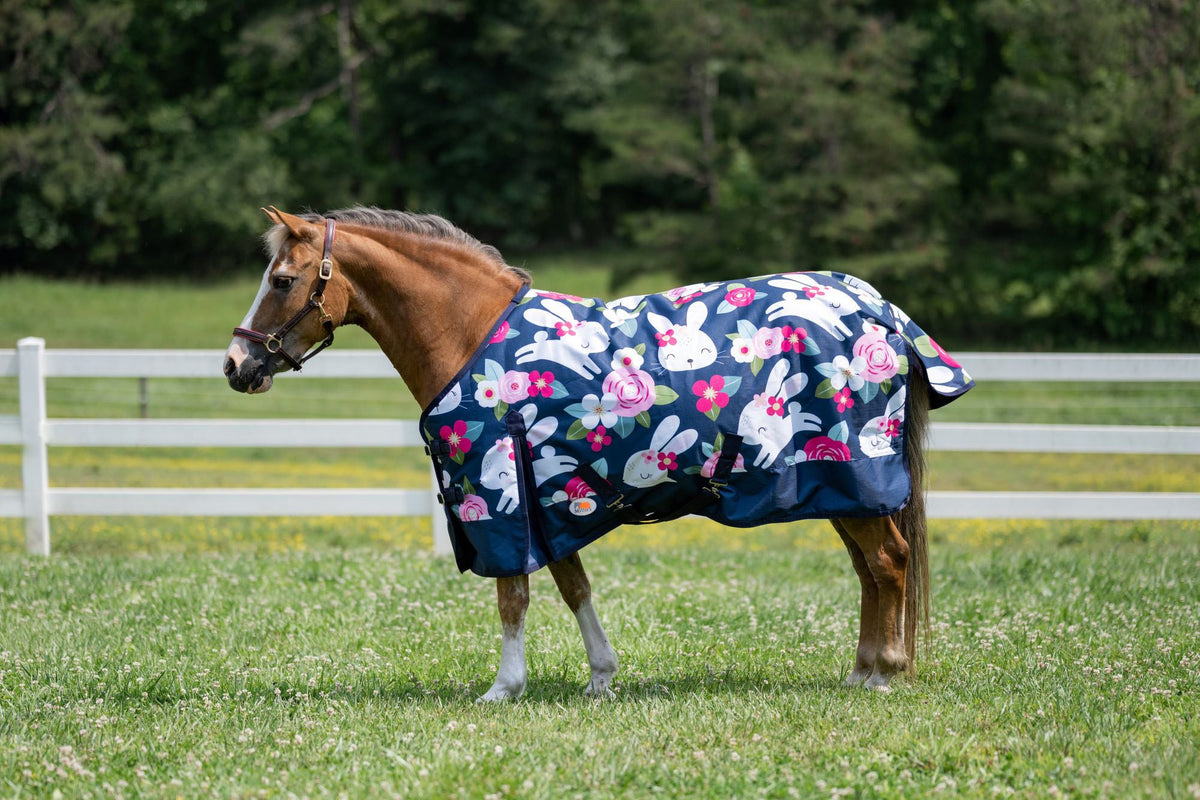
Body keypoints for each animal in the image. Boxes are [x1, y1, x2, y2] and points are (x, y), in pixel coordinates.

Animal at [224, 206, 973, 700]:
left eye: (283, 280)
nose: (236, 365)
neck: (470, 335)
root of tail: (879, 310)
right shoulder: (552, 496)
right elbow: (572, 585)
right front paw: (602, 678)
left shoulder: (502, 495)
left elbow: (514, 593)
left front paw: (504, 688)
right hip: (840, 490)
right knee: (871, 571)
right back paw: (861, 670)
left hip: (856, 479)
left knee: (888, 561)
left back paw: (885, 674)